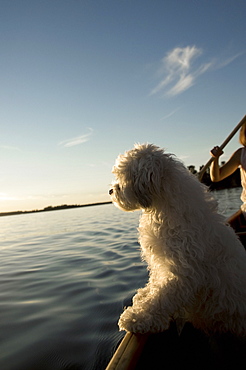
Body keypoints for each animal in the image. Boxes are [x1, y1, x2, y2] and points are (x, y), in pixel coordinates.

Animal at [109, 143, 246, 336]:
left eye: (122, 177)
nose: (110, 191)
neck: (163, 206)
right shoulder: (162, 261)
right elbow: (156, 282)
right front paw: (144, 294)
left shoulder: (183, 271)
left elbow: (162, 298)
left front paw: (138, 317)